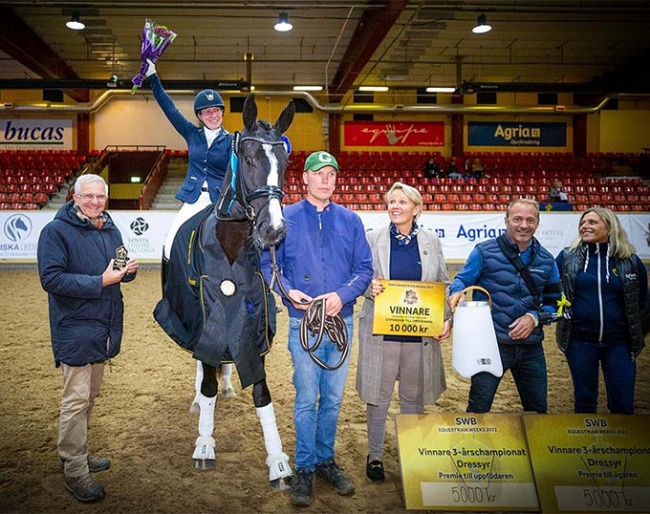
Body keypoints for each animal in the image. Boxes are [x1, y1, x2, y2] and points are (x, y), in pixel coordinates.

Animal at [153, 93, 294, 488]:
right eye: (247, 159)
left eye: (285, 162)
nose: (274, 230)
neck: (230, 244)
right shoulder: (204, 314)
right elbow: (208, 383)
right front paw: (204, 445)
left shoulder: (253, 321)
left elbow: (261, 391)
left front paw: (278, 462)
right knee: (202, 365)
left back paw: (228, 381)